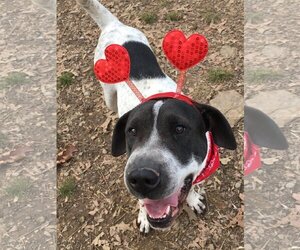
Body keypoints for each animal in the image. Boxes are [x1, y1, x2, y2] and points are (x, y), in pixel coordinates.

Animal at [77, 0, 237, 233]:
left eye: (180, 129)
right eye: (132, 131)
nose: (141, 178)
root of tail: (113, 24)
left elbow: (191, 186)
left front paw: (193, 199)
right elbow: (142, 202)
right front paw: (144, 217)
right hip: (107, 93)